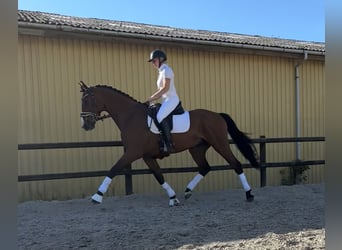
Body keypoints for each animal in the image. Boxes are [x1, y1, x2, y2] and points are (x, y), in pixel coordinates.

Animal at [79, 81, 260, 206]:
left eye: (86, 100)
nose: (85, 125)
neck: (130, 116)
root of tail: (217, 115)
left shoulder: (132, 152)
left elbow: (114, 169)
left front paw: (97, 196)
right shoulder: (146, 156)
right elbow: (159, 176)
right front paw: (173, 198)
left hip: (219, 144)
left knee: (235, 164)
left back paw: (249, 194)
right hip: (197, 148)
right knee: (205, 167)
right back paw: (187, 191)